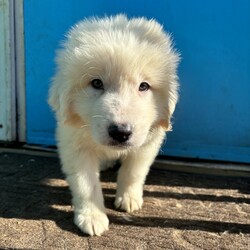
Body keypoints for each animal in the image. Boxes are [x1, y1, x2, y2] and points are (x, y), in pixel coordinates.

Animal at [47, 14, 179, 236]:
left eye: (144, 86)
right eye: (96, 83)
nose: (120, 133)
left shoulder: (147, 141)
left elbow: (133, 171)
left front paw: (128, 198)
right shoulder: (75, 145)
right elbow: (86, 183)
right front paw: (92, 217)